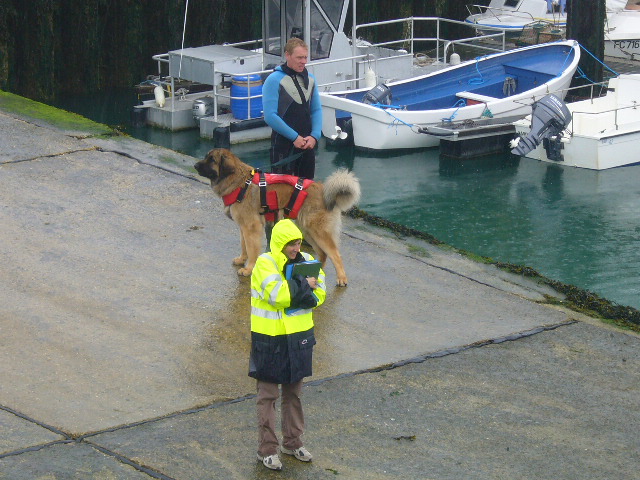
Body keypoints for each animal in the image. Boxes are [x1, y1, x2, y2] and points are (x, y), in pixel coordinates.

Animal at [192, 148, 362, 284]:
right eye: (207, 157)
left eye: (212, 160)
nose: (195, 166)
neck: (240, 182)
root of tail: (325, 190)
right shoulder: (243, 227)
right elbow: (244, 245)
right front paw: (241, 260)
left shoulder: (251, 227)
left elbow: (252, 249)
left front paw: (249, 268)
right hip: (308, 230)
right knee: (323, 254)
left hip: (318, 230)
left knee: (335, 254)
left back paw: (341, 278)